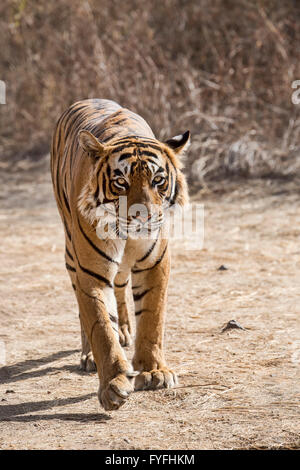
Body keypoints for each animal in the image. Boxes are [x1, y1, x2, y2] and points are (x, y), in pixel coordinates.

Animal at [50, 99, 189, 412]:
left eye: (158, 180)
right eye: (121, 182)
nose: (143, 217)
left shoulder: (155, 264)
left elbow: (151, 319)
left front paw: (153, 372)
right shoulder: (91, 272)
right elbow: (101, 327)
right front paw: (112, 385)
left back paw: (125, 331)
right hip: (71, 252)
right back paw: (90, 356)